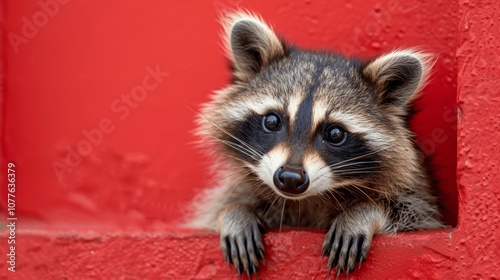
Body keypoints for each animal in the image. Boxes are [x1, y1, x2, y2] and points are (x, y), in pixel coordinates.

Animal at [189, 10, 444, 278]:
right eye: (272, 121)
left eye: (335, 134)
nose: (290, 178)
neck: (306, 200)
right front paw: (234, 211)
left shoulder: (419, 196)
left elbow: (416, 215)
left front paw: (364, 211)